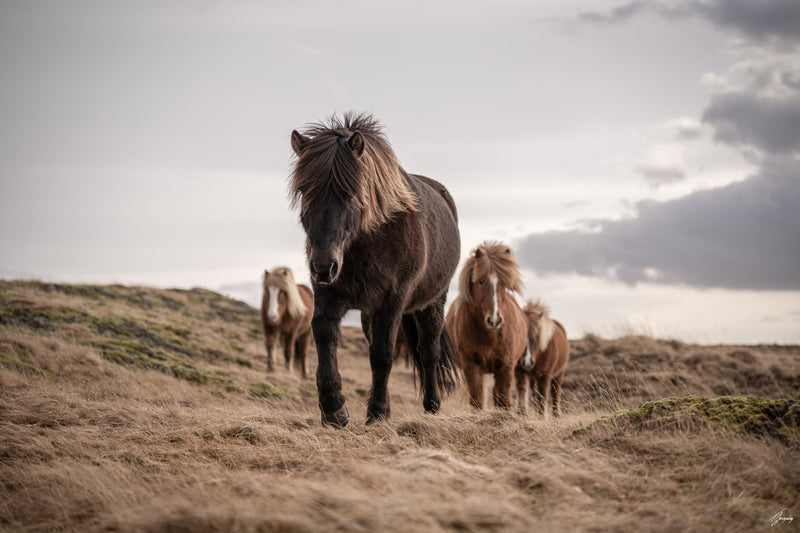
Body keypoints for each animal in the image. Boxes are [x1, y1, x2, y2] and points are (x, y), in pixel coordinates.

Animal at [289, 112, 461, 426]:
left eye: (350, 193)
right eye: (304, 191)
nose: (323, 266)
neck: (366, 240)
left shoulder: (392, 300)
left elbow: (382, 354)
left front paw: (377, 412)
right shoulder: (330, 293)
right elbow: (324, 333)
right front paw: (334, 408)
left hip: (431, 303)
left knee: (428, 351)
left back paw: (432, 405)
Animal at [446, 241, 528, 410]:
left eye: (504, 284)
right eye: (480, 282)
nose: (494, 321)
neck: (491, 337)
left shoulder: (506, 367)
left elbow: (504, 401)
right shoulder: (471, 367)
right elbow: (477, 401)